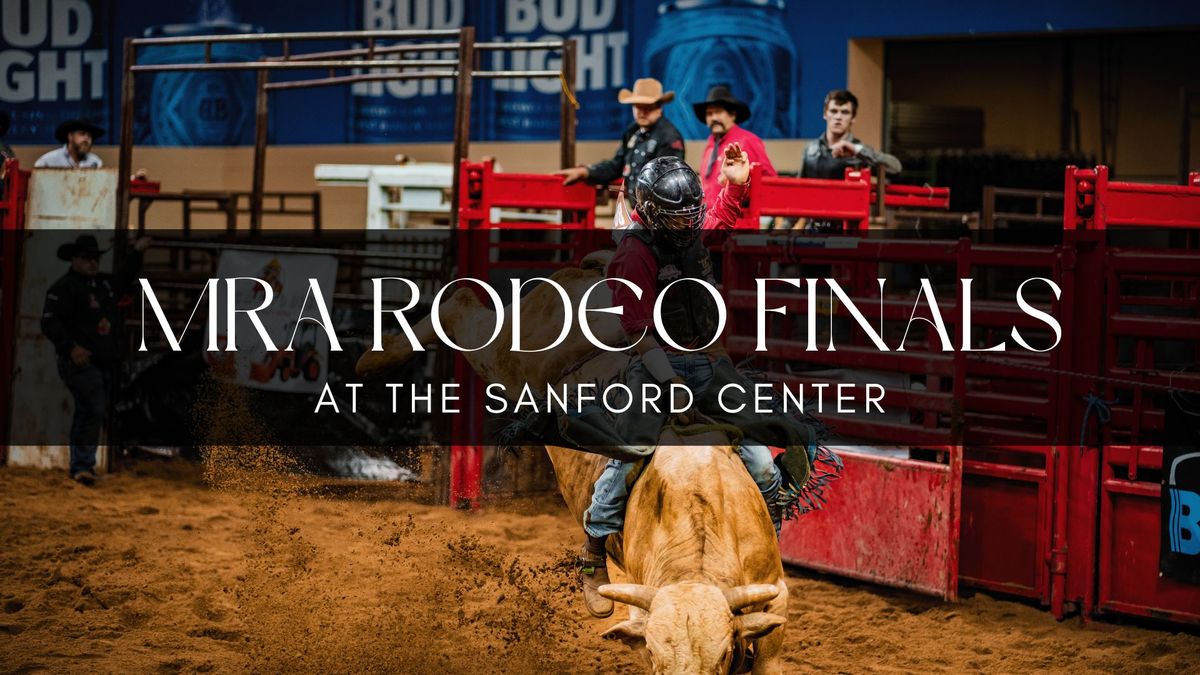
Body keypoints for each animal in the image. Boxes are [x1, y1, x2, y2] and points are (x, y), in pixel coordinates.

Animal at [355, 253, 787, 672]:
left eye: (723, 654)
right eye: (653, 654)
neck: (699, 515)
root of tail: (592, 273)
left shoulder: (776, 594)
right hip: (513, 354)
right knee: (462, 308)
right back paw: (375, 358)